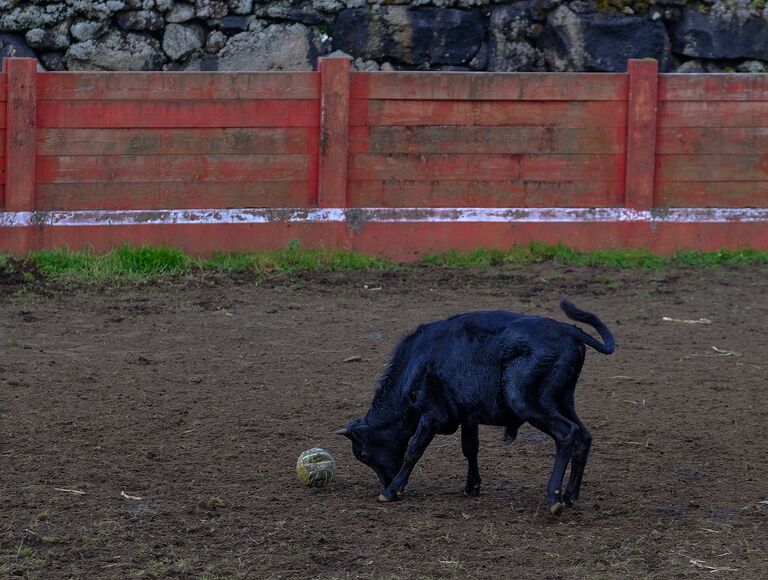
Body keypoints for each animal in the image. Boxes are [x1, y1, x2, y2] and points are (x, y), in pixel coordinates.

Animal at [340, 300, 616, 516]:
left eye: (362, 453)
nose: (385, 482)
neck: (417, 362)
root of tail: (570, 331)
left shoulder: (431, 415)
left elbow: (413, 450)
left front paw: (391, 491)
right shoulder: (468, 415)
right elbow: (470, 448)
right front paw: (472, 486)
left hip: (529, 404)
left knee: (567, 434)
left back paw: (554, 497)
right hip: (563, 401)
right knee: (584, 437)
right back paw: (570, 495)